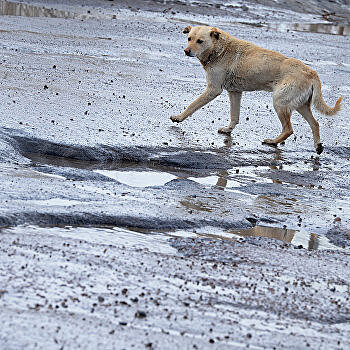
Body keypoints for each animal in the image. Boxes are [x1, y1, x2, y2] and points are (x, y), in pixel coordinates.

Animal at [171, 25, 344, 154]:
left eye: (200, 41)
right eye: (189, 39)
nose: (186, 51)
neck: (220, 49)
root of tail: (312, 72)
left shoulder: (213, 89)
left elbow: (192, 105)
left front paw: (179, 117)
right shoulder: (235, 92)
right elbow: (235, 116)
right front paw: (228, 129)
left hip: (280, 103)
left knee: (289, 129)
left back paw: (273, 142)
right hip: (301, 105)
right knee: (315, 124)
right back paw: (318, 146)